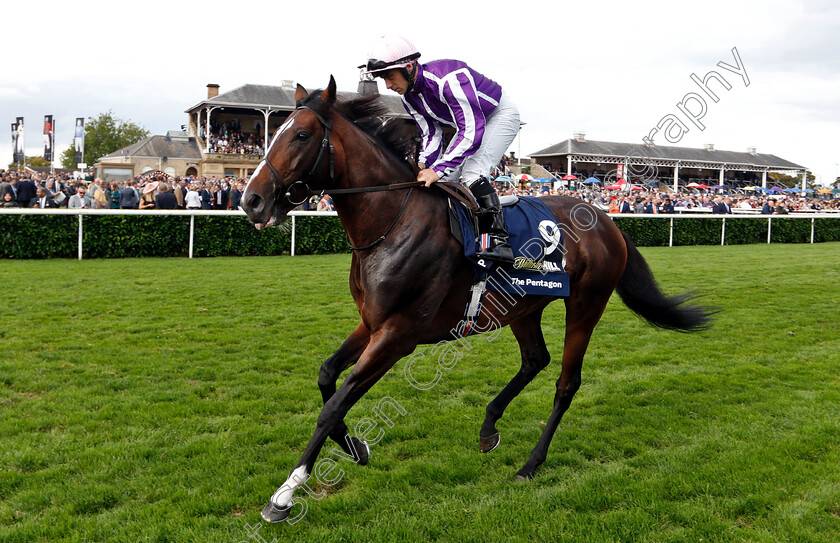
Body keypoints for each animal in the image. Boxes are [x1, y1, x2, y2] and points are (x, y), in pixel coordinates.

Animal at [240, 76, 712, 524]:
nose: (251, 200)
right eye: (273, 132)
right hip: (523, 306)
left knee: (566, 382)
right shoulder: (372, 322)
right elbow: (326, 378)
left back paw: (531, 464)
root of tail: (606, 219)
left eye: (301, 136)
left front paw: (284, 495)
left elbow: (334, 404)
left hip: (586, 304)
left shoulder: (398, 334)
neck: (394, 221)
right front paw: (356, 447)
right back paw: (488, 427)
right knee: (534, 360)